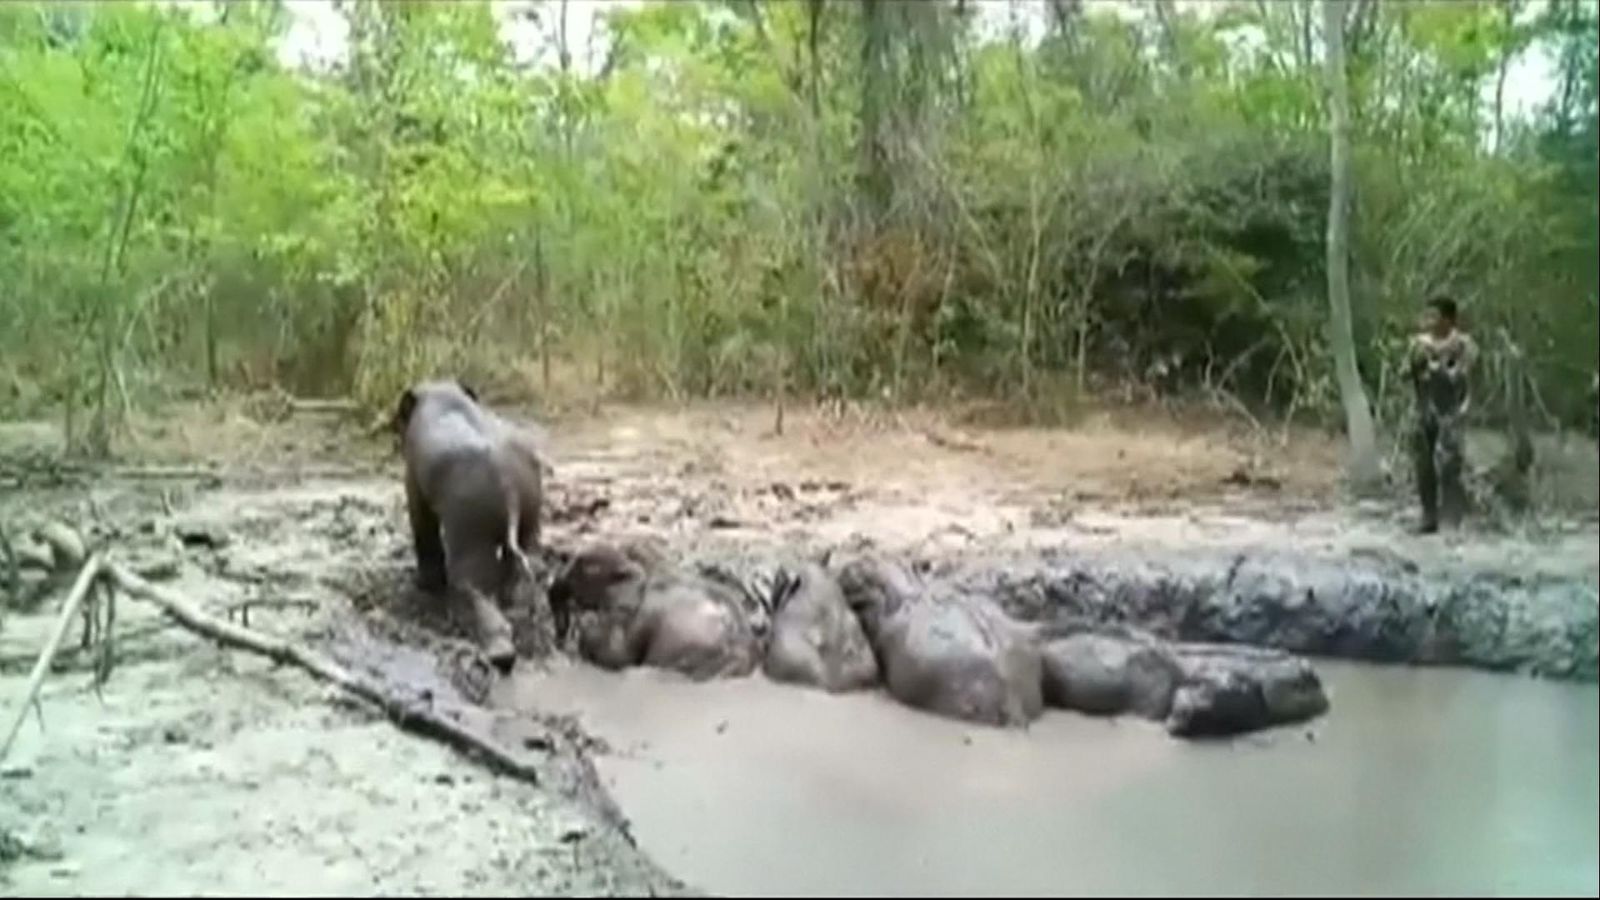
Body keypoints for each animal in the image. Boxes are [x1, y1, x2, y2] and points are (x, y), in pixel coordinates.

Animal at [393, 379, 547, 671]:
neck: (442, 396)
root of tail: (508, 486)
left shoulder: (413, 483)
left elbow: (422, 526)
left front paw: (423, 585)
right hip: (531, 514)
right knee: (525, 565)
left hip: (470, 533)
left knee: (475, 586)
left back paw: (496, 654)